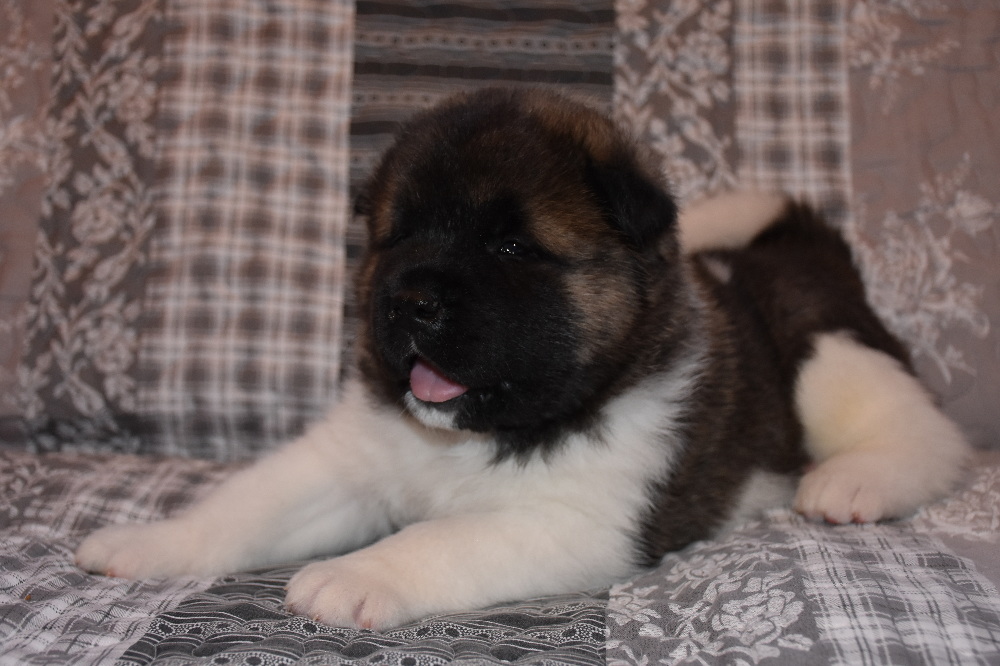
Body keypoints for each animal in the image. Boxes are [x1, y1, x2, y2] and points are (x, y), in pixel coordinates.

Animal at [76, 87, 970, 631]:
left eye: (511, 246)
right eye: (400, 234)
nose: (410, 301)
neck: (474, 435)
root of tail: (807, 246)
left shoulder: (572, 522)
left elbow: (438, 538)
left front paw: (350, 575)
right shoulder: (347, 461)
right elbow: (242, 507)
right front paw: (149, 544)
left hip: (825, 358)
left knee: (925, 428)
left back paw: (853, 484)